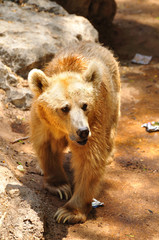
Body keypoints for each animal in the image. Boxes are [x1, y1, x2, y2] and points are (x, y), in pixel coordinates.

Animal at [28, 40, 120, 223]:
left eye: (85, 105)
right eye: (64, 108)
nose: (82, 131)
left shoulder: (95, 119)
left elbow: (89, 160)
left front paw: (69, 212)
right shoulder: (43, 123)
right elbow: (47, 148)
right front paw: (60, 187)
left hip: (113, 99)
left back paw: (109, 155)